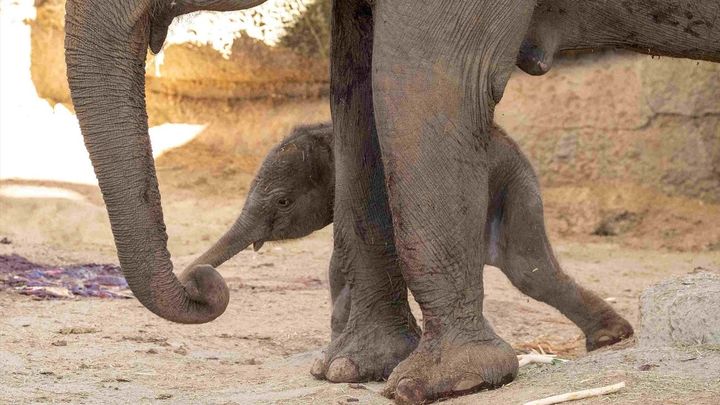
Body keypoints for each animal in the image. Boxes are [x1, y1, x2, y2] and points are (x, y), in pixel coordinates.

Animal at [189, 122, 633, 350]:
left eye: (282, 202)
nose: (199, 280)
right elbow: (340, 261)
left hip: (513, 185)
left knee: (528, 270)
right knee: (530, 270)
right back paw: (609, 337)